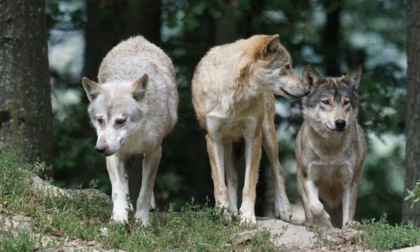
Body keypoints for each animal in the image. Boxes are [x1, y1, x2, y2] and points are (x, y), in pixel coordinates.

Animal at [81, 35, 178, 224]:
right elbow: (117, 189)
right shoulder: (114, 154)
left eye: (120, 121)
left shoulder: (155, 151)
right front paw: (119, 216)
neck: (134, 136)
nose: (100, 149)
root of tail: (137, 38)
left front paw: (142, 221)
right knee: (125, 179)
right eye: (100, 120)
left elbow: (145, 191)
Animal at [191, 34, 308, 223]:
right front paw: (223, 213)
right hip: (226, 143)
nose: (307, 90)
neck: (234, 95)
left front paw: (247, 216)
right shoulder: (213, 139)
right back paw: (231, 211)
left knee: (277, 169)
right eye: (287, 67)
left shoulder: (253, 137)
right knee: (232, 177)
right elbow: (220, 184)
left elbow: (249, 184)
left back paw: (283, 208)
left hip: (267, 135)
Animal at [296, 65, 368, 228]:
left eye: (346, 102)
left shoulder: (350, 182)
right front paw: (325, 222)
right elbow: (316, 206)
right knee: (310, 212)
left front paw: (347, 227)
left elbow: (348, 215)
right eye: (326, 102)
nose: (340, 123)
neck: (330, 149)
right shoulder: (309, 178)